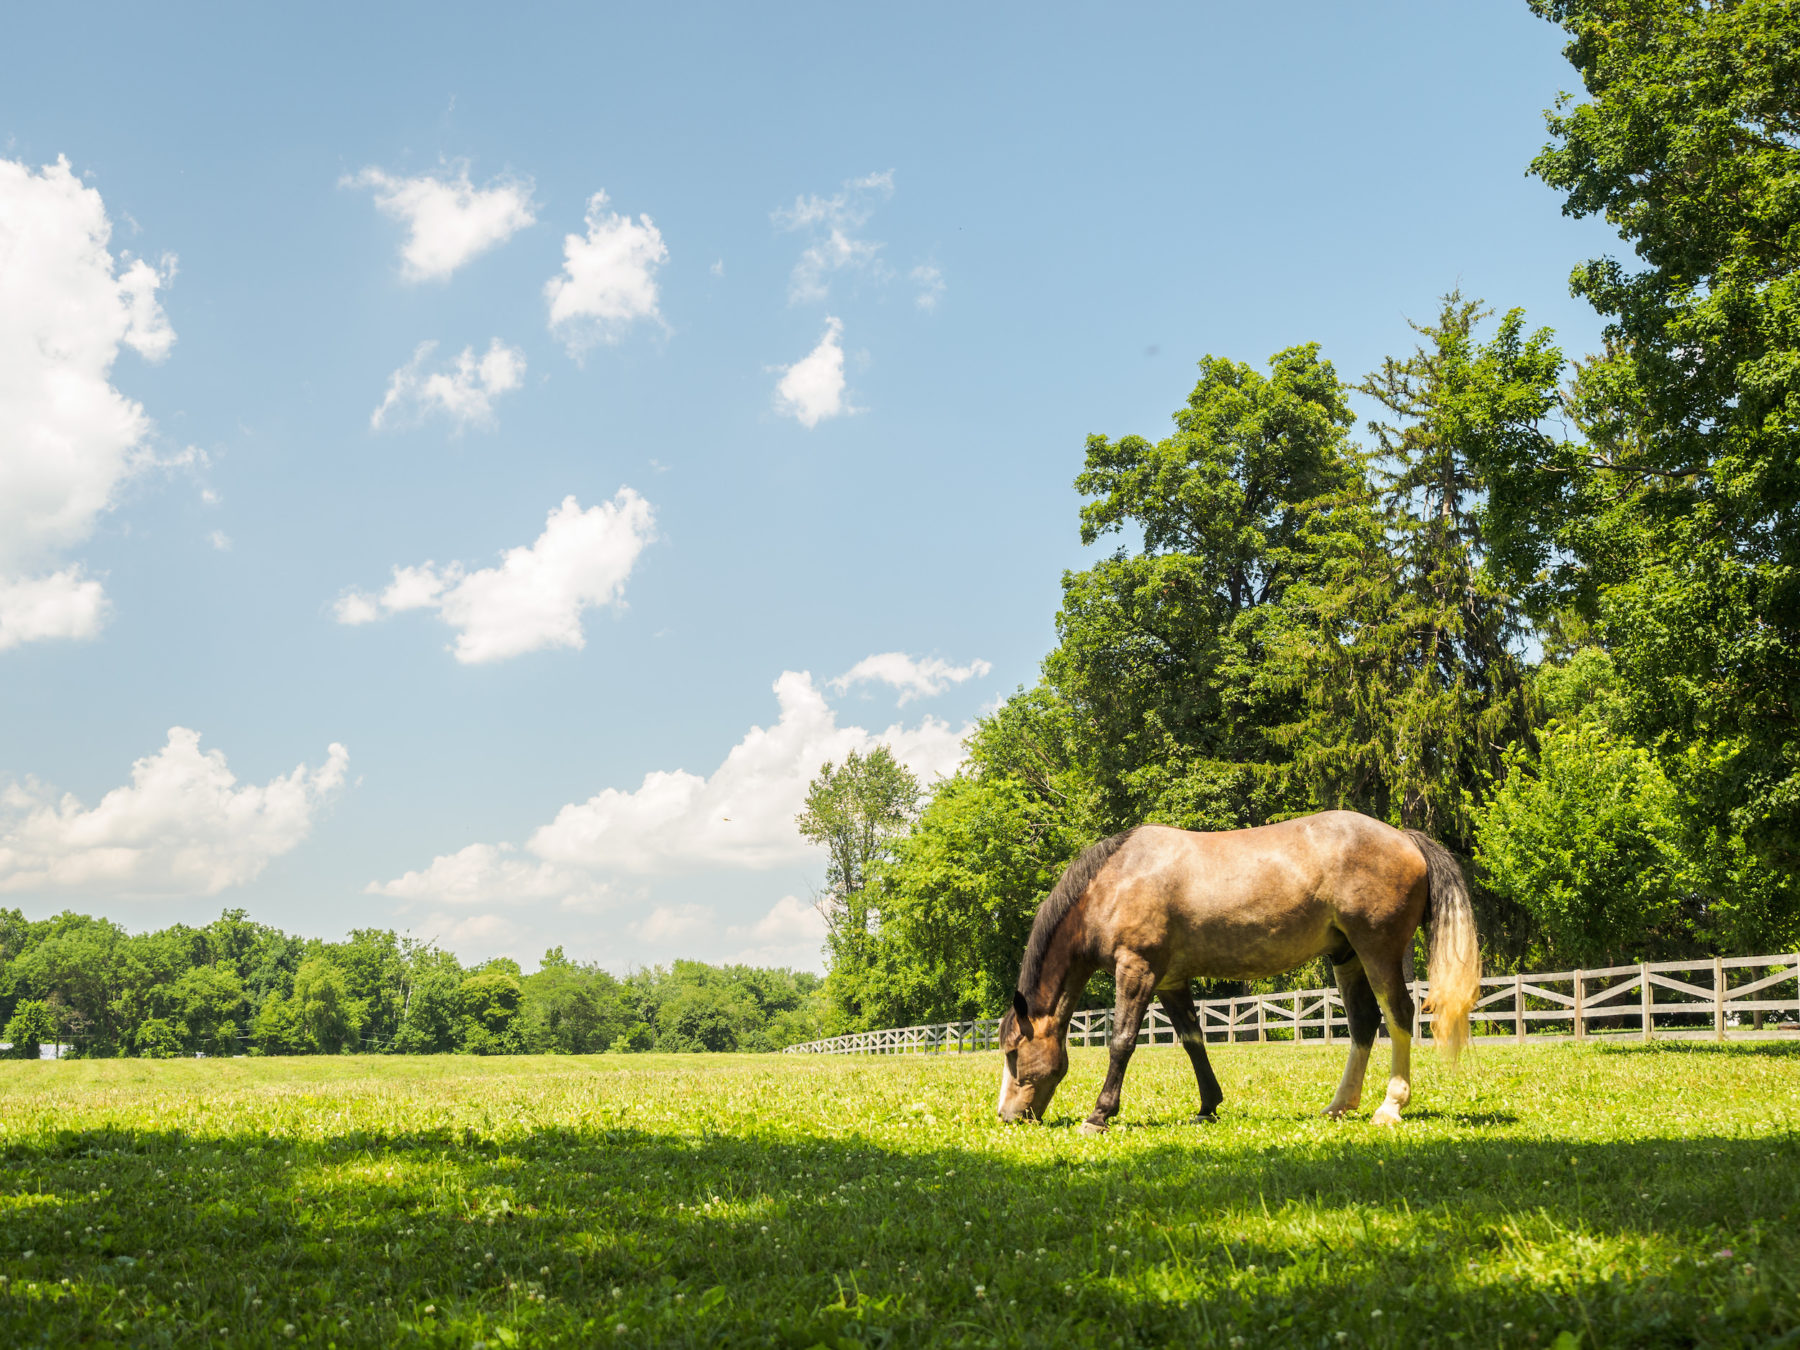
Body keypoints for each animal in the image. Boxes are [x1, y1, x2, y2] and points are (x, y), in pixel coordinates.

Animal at [996, 810, 1479, 1132]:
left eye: (1014, 1052)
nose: (1006, 1115)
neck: (1117, 881)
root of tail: (1405, 838)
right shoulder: (1170, 979)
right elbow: (1193, 1040)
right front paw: (1208, 1105)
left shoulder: (1137, 969)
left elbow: (1122, 1042)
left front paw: (1099, 1114)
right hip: (1347, 957)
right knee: (1363, 1022)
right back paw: (1340, 1105)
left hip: (1377, 949)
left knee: (1398, 1015)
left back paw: (1390, 1105)